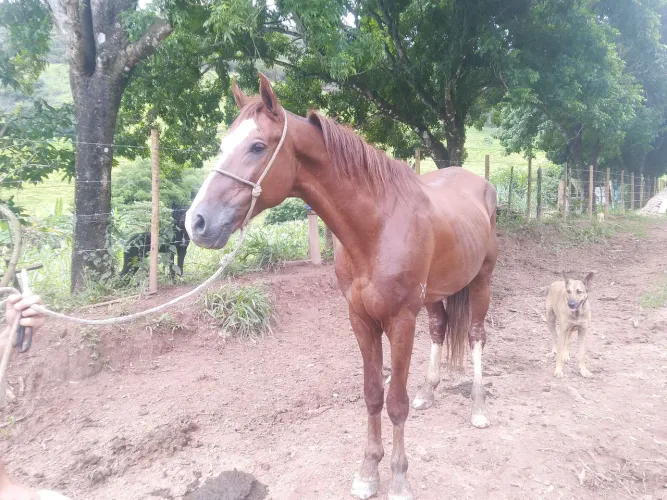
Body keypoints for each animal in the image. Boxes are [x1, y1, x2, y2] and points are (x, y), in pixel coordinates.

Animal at [185, 73, 498, 500]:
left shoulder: (401, 321)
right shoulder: (360, 320)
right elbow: (373, 395)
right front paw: (368, 471)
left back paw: (479, 409)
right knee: (440, 328)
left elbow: (395, 402)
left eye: (257, 146)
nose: (196, 221)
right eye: (223, 145)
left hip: (481, 281)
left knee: (475, 335)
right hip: (436, 294)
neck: (378, 227)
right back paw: (428, 392)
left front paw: (399, 479)